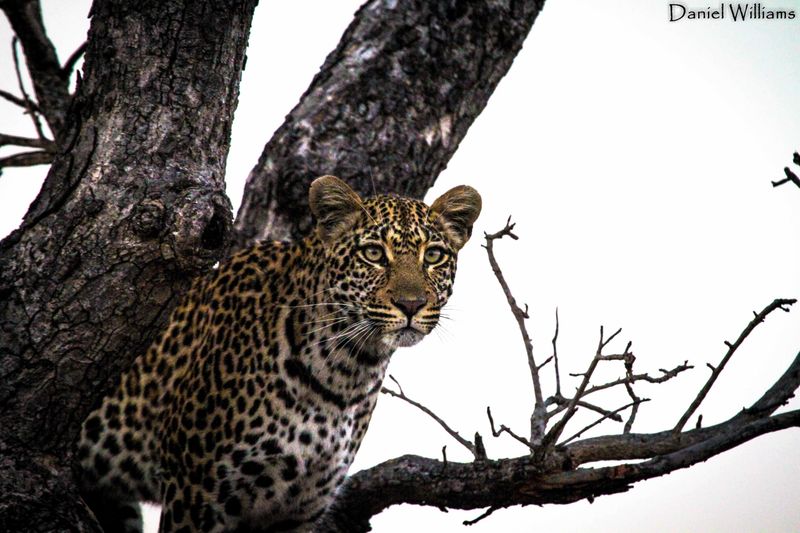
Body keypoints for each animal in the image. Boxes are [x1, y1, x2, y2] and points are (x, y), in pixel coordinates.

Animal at [77, 175, 481, 532]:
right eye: (373, 254)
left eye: (433, 256)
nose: (411, 304)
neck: (347, 368)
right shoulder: (194, 493)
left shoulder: (298, 510)